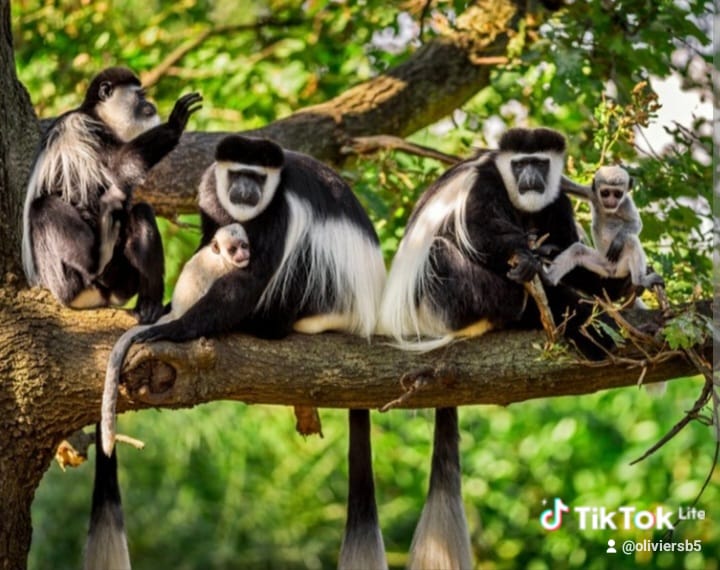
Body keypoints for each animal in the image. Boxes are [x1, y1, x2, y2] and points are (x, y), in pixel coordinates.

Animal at [22, 67, 202, 323]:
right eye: (140, 95)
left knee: (140, 212)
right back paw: (93, 262)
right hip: (64, 279)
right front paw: (174, 124)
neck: (99, 116)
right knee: (44, 206)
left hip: (121, 281)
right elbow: (118, 167)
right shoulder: (83, 128)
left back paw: (149, 306)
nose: (150, 104)